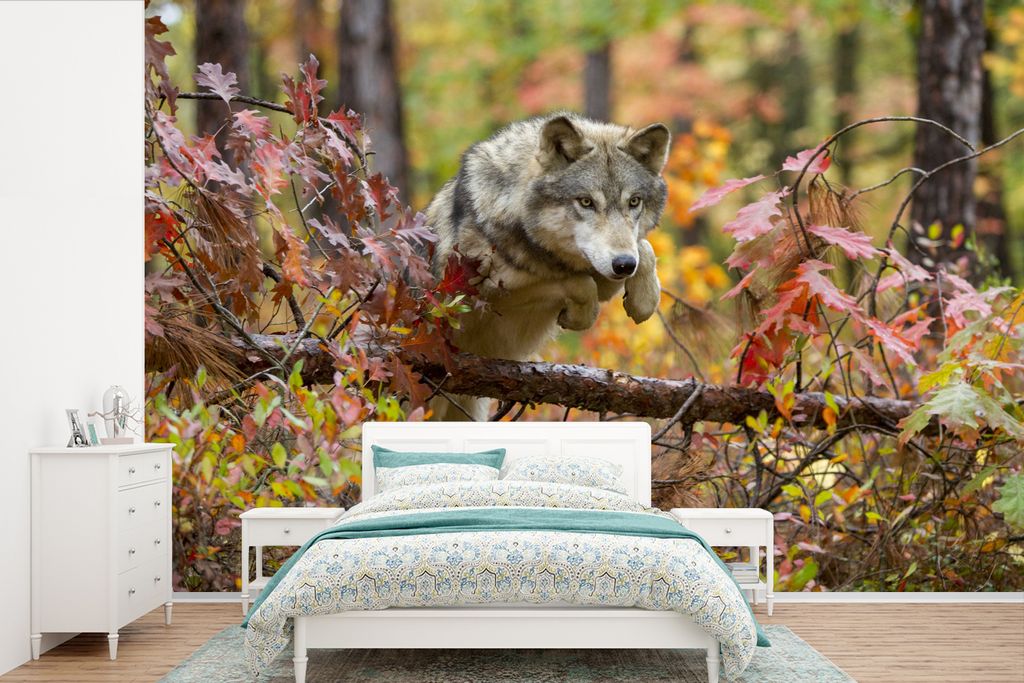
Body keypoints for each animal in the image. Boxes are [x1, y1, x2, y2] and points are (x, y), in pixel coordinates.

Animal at [425, 112, 670, 420]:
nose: (624, 265)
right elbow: (580, 283)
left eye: (634, 201)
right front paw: (579, 316)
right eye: (586, 202)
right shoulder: (487, 296)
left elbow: (644, 249)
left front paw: (644, 301)